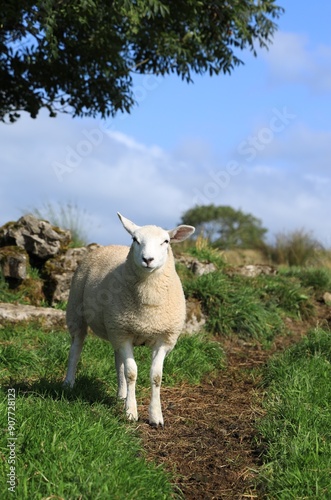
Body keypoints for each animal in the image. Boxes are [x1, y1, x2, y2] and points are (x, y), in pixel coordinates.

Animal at [63, 211, 196, 426]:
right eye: (135, 239)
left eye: (166, 241)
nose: (148, 259)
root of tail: (108, 246)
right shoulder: (123, 333)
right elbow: (132, 372)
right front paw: (131, 412)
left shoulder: (163, 338)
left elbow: (156, 376)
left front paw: (155, 416)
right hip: (77, 311)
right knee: (76, 348)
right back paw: (68, 383)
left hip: (115, 327)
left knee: (118, 360)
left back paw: (122, 394)